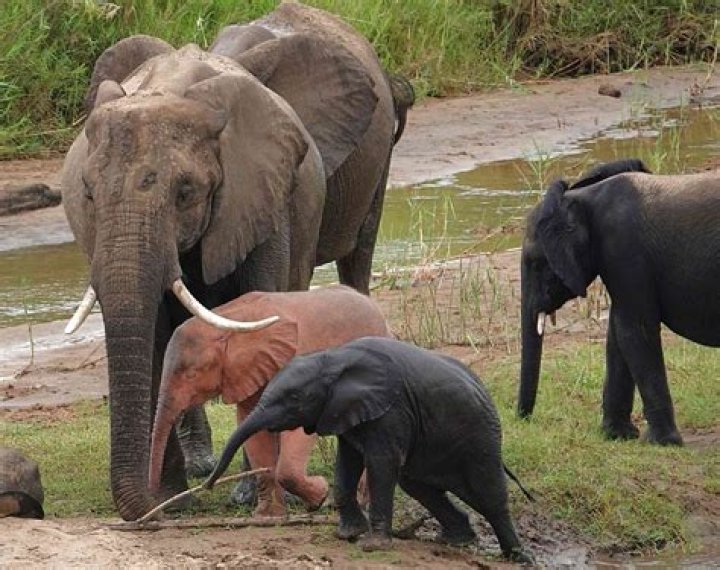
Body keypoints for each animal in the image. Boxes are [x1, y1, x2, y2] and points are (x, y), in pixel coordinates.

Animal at [148, 285, 391, 517]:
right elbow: (252, 428)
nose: (156, 508)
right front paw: (268, 516)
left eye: (191, 375)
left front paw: (320, 497)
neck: (229, 321)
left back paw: (361, 505)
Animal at [203, 337, 534, 564]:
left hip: (481, 438)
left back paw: (517, 557)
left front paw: (373, 546)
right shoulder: (345, 412)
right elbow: (347, 465)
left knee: (489, 494)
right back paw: (456, 540)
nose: (207, 485)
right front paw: (347, 535)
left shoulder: (392, 409)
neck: (333, 359)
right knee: (418, 486)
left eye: (294, 398)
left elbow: (381, 464)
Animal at [517, 158, 720, 445]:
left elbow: (633, 330)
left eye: (536, 263)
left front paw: (662, 442)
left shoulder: (624, 250)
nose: (523, 420)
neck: (582, 198)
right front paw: (618, 435)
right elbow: (617, 335)